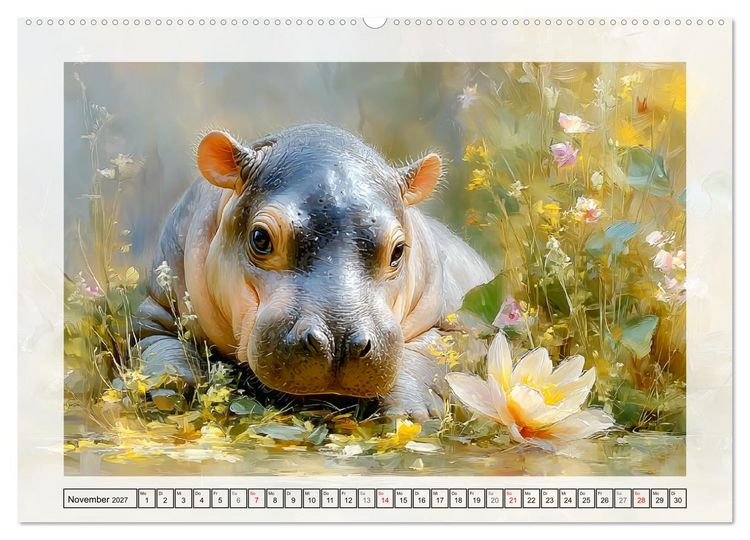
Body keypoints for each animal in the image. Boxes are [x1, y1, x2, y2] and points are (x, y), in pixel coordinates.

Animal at [134, 124, 493, 419]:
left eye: (399, 251)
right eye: (260, 238)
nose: (339, 342)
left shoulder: (462, 324)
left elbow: (428, 356)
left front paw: (411, 414)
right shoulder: (157, 306)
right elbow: (159, 342)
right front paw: (168, 387)